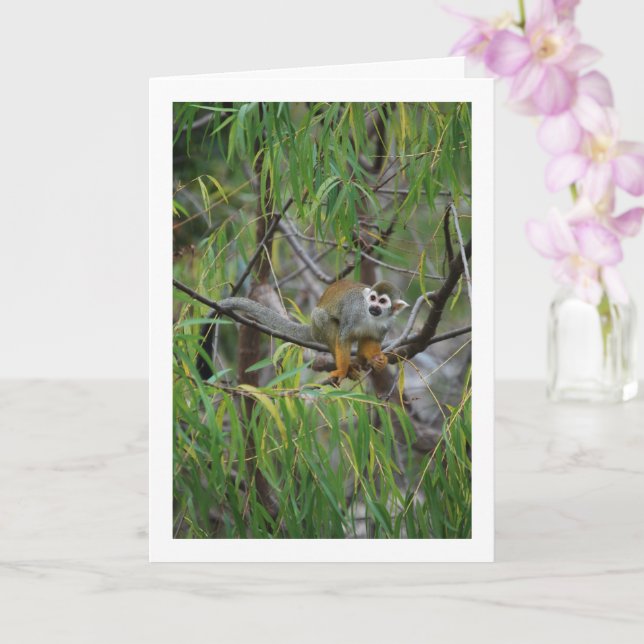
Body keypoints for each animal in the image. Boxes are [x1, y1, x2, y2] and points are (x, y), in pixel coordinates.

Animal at [195, 279, 408, 382]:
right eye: (372, 298)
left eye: (382, 302)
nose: (374, 307)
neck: (371, 317)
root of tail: (311, 330)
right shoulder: (353, 311)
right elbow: (343, 338)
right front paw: (342, 370)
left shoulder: (387, 323)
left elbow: (372, 340)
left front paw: (377, 359)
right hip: (318, 326)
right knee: (324, 320)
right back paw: (348, 367)